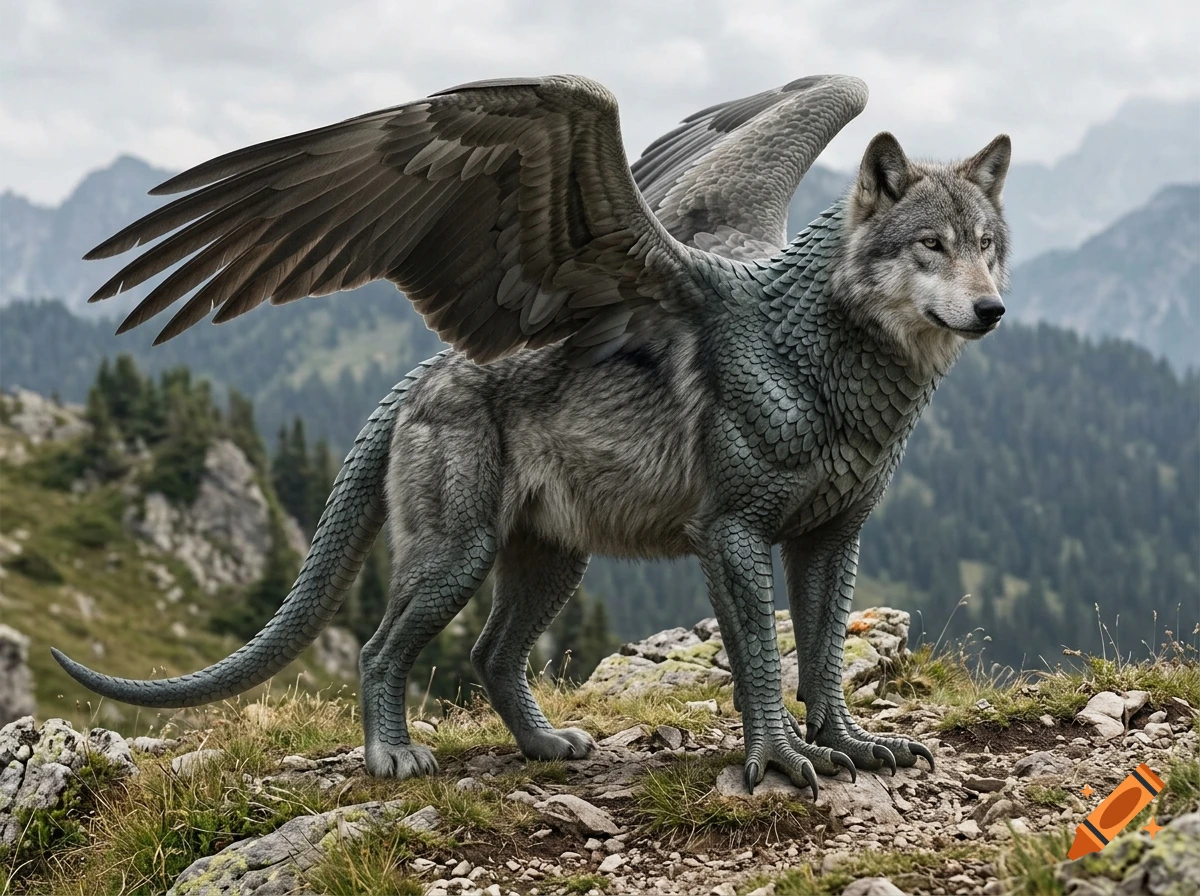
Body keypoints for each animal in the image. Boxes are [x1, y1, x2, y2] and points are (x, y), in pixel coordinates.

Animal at [53, 74, 1010, 796]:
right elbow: (762, 663)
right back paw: (392, 756)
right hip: (459, 553)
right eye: (930, 245)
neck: (810, 346)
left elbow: (824, 652)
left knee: (489, 654)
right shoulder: (732, 534)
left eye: (988, 244)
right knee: (381, 648)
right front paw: (778, 759)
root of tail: (420, 376)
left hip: (554, 560)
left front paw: (849, 744)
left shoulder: (832, 535)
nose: (993, 311)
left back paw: (545, 747)